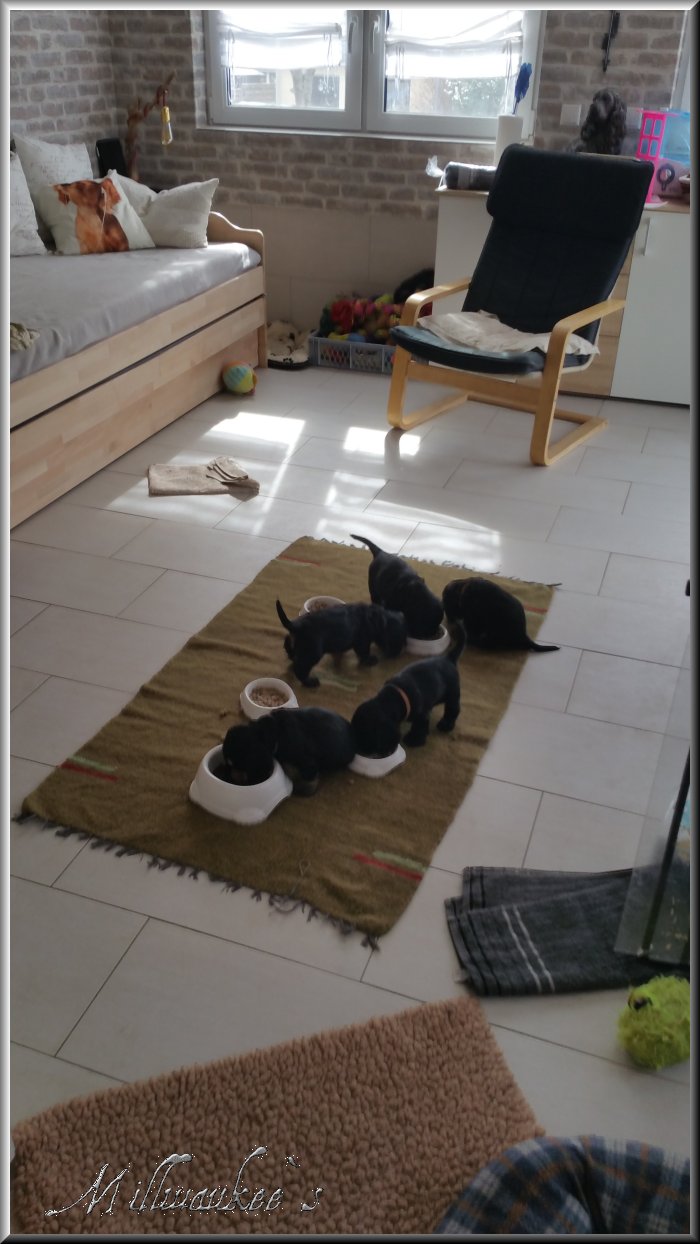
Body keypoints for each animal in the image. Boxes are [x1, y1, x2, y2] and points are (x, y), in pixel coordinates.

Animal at [276, 599, 408, 688]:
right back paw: (310, 682)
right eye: (395, 640)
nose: (395, 655)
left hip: (297, 643)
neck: (376, 618)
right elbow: (364, 652)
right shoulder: (362, 641)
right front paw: (371, 660)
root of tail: (296, 625)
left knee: (289, 646)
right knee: (299, 668)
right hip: (313, 652)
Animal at [351, 626, 465, 756]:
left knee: (453, 709)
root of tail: (448, 658)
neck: (393, 697)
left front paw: (414, 740)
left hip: (452, 694)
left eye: (366, 736)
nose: (359, 750)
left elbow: (419, 727)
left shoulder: (421, 714)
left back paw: (446, 724)